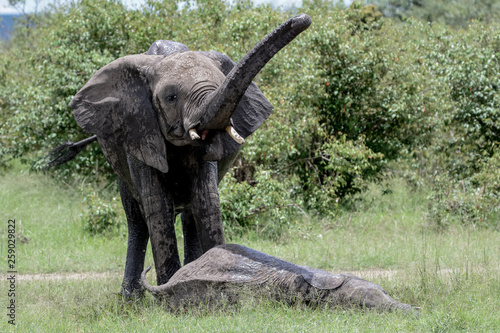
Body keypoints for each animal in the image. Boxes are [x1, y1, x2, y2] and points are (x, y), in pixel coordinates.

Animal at [47, 15, 312, 296]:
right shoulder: (139, 130)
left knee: (189, 214)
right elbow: (157, 207)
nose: (302, 19)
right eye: (171, 97)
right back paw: (130, 299)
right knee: (136, 220)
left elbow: (207, 201)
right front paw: (169, 292)